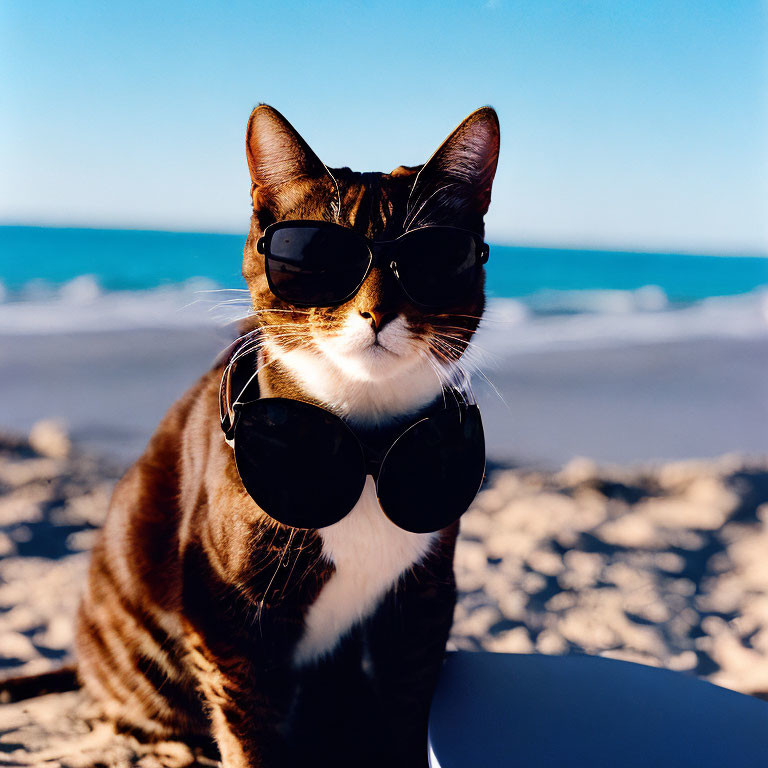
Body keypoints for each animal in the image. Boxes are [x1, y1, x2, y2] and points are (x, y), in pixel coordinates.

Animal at [75, 103, 500, 768]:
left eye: (432, 261)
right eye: (314, 259)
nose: (377, 311)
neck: (363, 445)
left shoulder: (422, 603)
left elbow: (407, 708)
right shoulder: (227, 620)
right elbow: (249, 730)